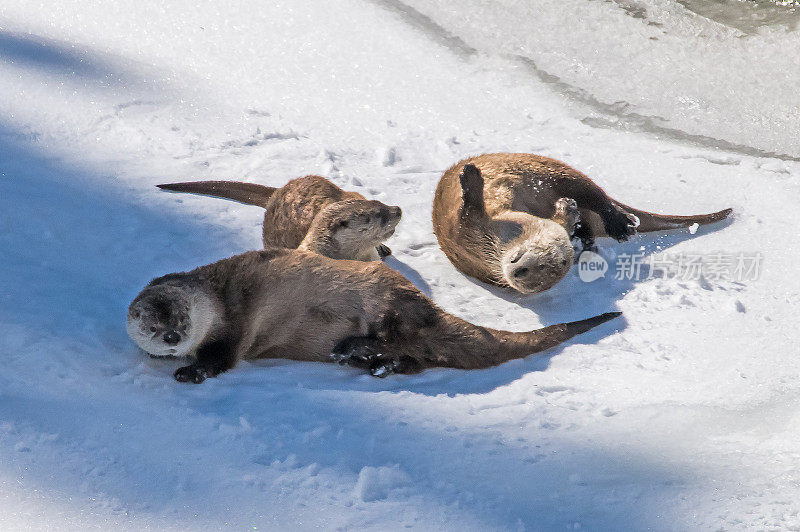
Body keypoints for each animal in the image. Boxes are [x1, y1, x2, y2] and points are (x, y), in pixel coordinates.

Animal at [434, 154, 736, 294]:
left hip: (550, 170)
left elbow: (470, 209)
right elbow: (467, 210)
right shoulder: (464, 230)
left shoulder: (470, 227)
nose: (516, 271)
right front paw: (471, 177)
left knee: (593, 193)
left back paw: (615, 224)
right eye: (529, 266)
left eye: (539, 268)